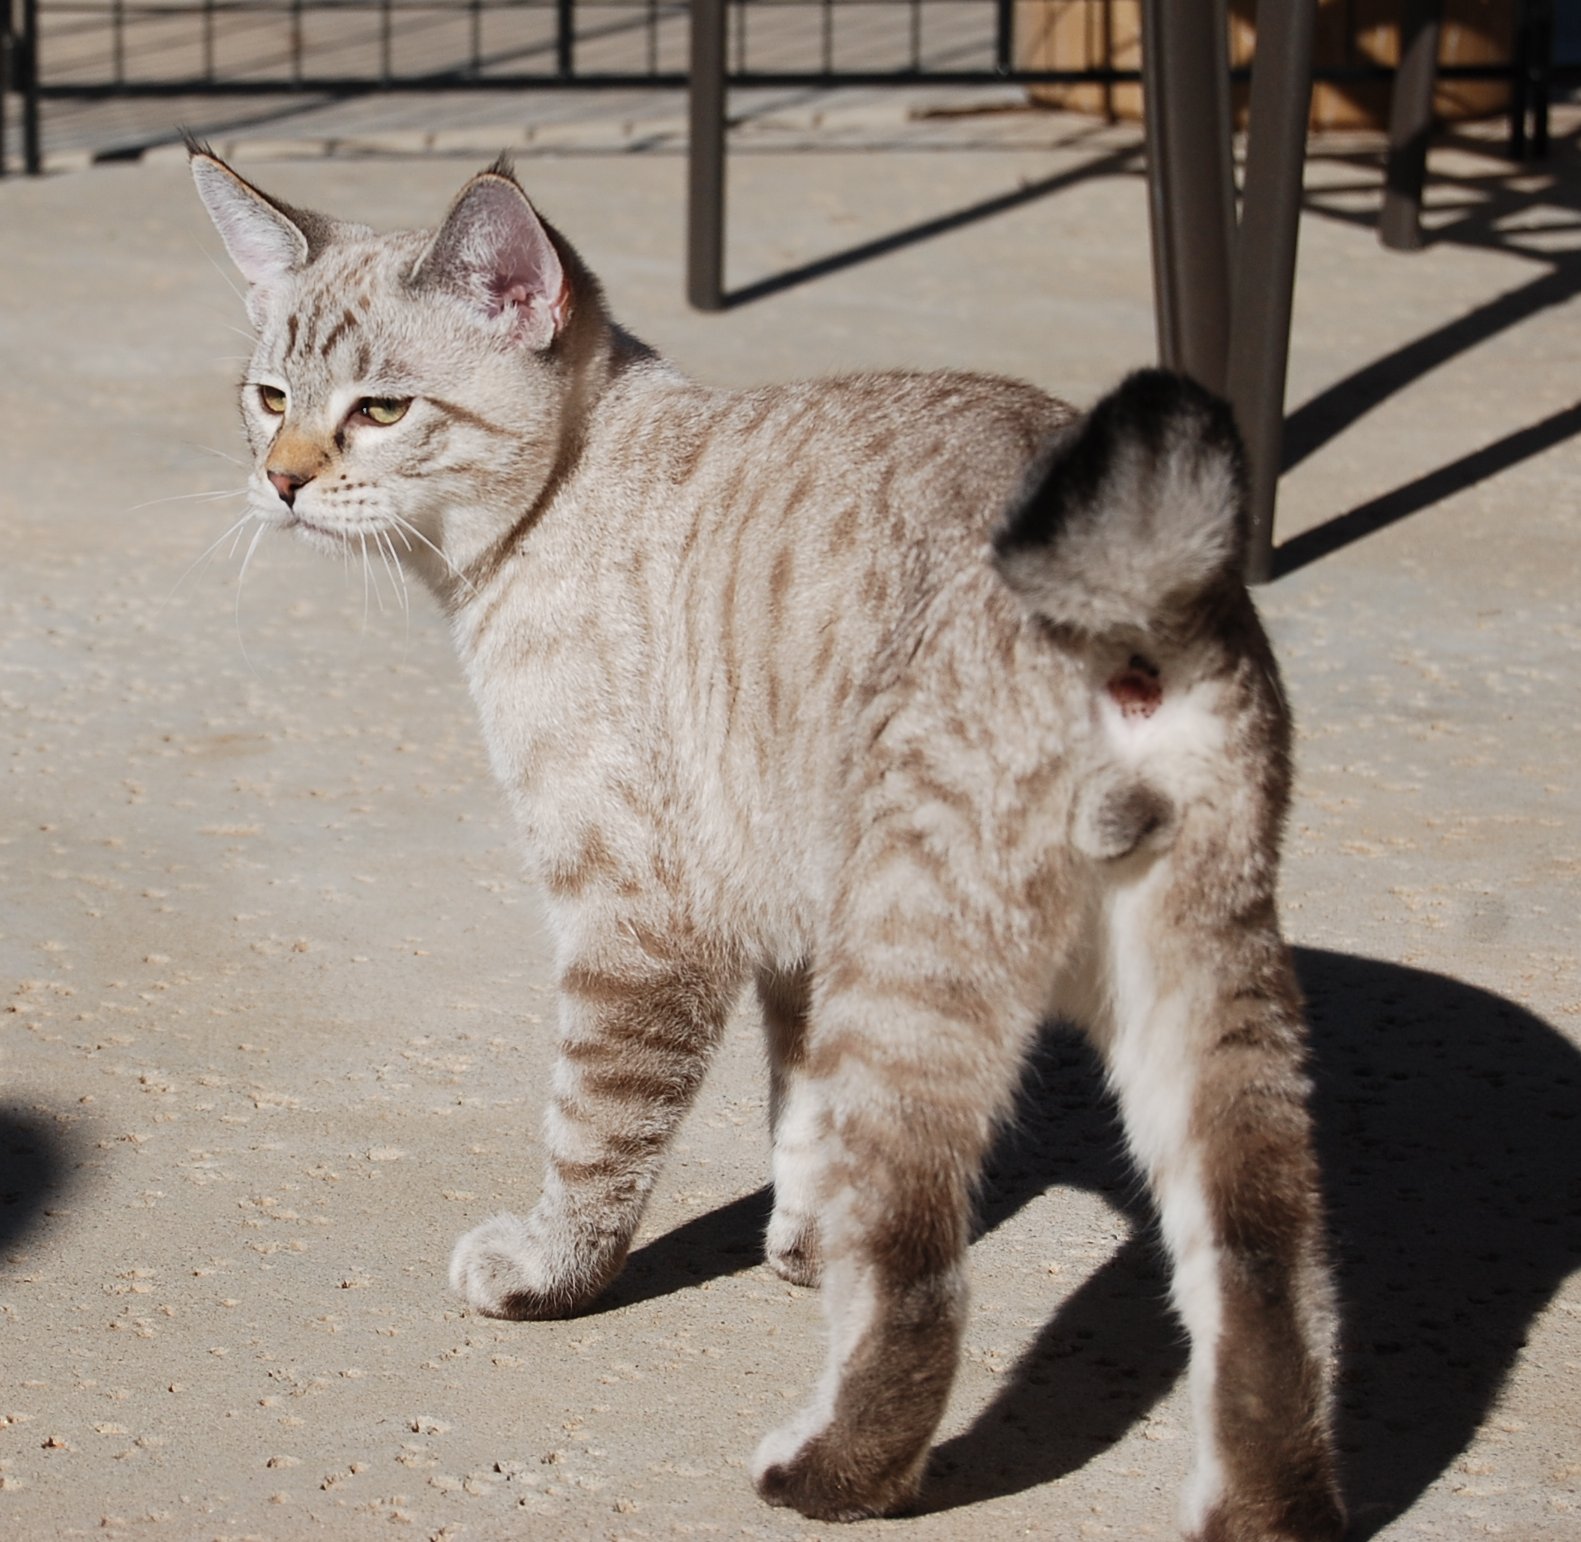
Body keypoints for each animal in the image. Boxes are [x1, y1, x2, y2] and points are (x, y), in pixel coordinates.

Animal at [188, 147, 1347, 1542]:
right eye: (269, 398)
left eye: (380, 410)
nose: (282, 480)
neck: (563, 502)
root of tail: (1128, 577)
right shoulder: (799, 925)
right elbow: (799, 1113)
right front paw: (799, 1247)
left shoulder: (636, 919)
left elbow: (594, 1139)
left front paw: (546, 1275)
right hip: (1206, 992)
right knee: (1268, 1273)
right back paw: (1262, 1512)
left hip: (918, 969)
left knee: (923, 1283)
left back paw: (825, 1473)